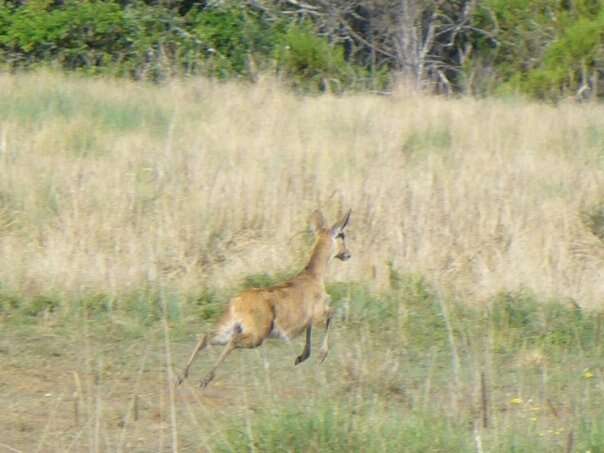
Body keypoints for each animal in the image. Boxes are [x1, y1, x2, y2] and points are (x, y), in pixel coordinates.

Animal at [177, 208, 352, 388]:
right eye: (342, 235)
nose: (347, 254)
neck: (314, 276)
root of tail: (237, 301)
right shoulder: (318, 314)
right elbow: (332, 315)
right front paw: (320, 355)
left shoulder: (309, 319)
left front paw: (300, 357)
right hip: (256, 335)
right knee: (231, 341)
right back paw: (204, 379)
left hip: (231, 327)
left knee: (205, 336)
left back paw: (182, 376)